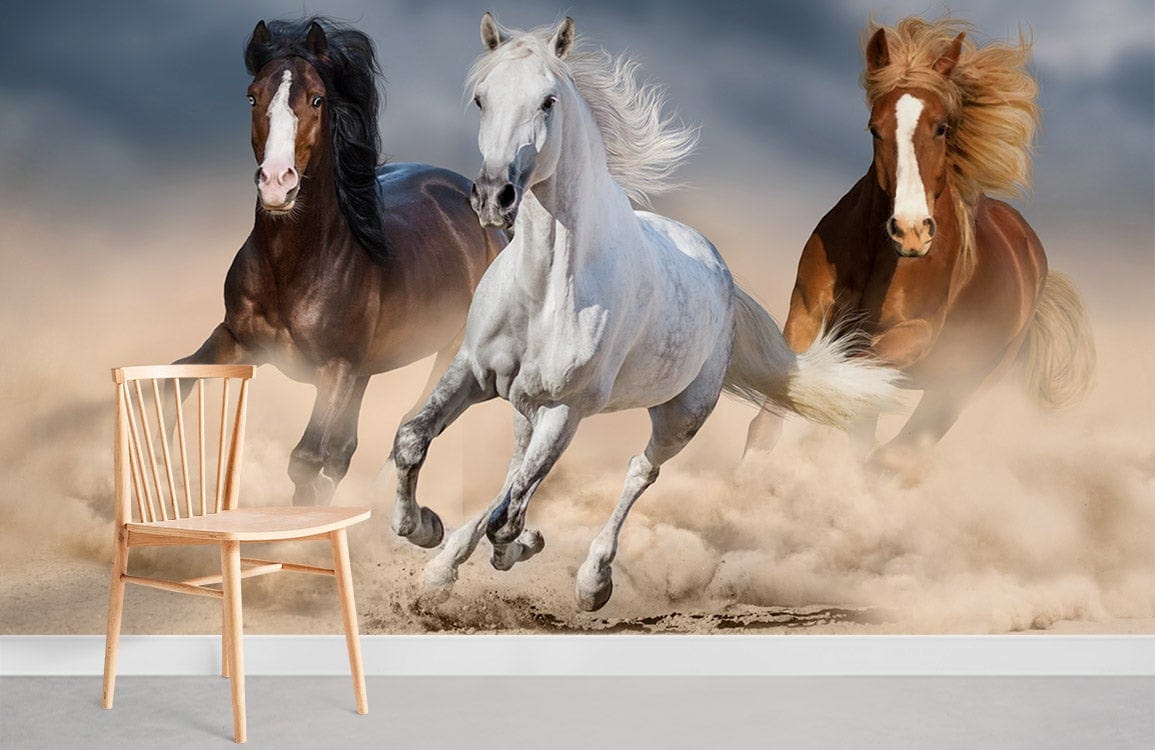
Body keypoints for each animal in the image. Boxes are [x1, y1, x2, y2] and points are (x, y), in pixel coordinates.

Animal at [175, 18, 505, 505]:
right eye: (253, 96)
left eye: (317, 98)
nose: (277, 184)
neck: (294, 265)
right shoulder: (236, 338)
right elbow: (175, 380)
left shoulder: (336, 370)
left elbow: (306, 458)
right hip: (367, 371)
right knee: (346, 448)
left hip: (448, 354)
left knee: (410, 427)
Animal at [384, 14, 901, 611]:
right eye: (480, 98)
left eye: (548, 101)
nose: (495, 197)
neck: (544, 290)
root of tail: (722, 274)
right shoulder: (473, 369)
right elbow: (414, 440)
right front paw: (424, 529)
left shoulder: (567, 409)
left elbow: (509, 514)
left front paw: (514, 546)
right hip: (525, 404)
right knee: (517, 468)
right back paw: (447, 564)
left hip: (679, 416)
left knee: (637, 472)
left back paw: (592, 581)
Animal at [743, 17, 1095, 468]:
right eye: (875, 129)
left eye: (941, 127)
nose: (911, 231)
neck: (879, 257)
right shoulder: (806, 310)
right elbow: (775, 409)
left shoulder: (915, 335)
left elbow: (848, 373)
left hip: (958, 390)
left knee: (897, 450)